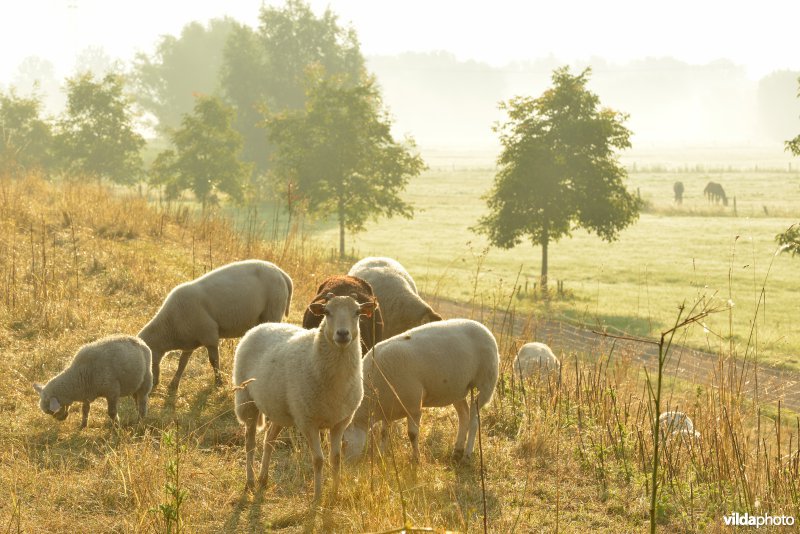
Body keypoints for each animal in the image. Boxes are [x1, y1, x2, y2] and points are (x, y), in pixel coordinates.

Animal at [139, 260, 292, 394]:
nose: (150, 387)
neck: (169, 327)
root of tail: (282, 273)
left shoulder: (209, 335)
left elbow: (214, 361)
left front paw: (219, 383)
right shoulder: (190, 340)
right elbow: (182, 362)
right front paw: (173, 384)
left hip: (273, 310)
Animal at [231, 294, 376, 502]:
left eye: (357, 312)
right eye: (327, 312)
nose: (342, 334)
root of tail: (260, 326)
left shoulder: (340, 422)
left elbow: (336, 459)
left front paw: (335, 493)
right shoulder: (308, 422)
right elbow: (318, 460)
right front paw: (317, 497)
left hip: (280, 410)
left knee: (269, 439)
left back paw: (263, 479)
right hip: (247, 401)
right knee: (250, 443)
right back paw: (250, 481)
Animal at [344, 320, 500, 466]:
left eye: (344, 443)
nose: (345, 467)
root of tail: (483, 328)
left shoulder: (413, 406)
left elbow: (412, 434)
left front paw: (416, 459)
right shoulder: (388, 409)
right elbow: (384, 433)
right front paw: (380, 456)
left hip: (486, 383)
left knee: (474, 420)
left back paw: (466, 455)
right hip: (457, 389)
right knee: (464, 415)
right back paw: (457, 452)